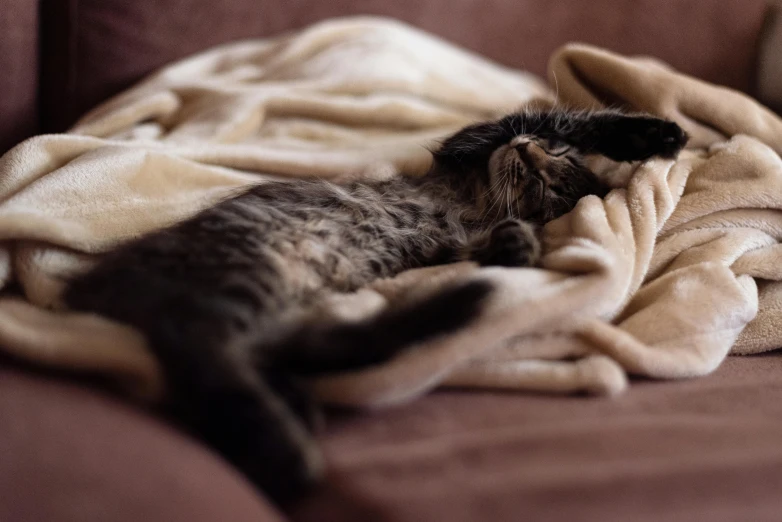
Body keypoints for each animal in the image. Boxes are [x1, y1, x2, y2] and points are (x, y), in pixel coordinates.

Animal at [64, 108, 692, 504]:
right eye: (548, 157)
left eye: (543, 177)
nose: (528, 152)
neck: (474, 200)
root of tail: (89, 287)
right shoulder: (465, 143)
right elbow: (546, 113)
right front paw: (657, 135)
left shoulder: (454, 241)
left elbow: (506, 227)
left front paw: (520, 246)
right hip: (245, 279)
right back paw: (291, 438)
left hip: (249, 289)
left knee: (231, 356)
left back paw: (292, 432)